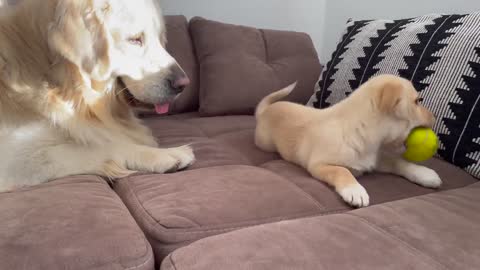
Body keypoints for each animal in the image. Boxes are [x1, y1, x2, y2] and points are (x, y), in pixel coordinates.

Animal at [255, 75, 442, 208]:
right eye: (417, 101)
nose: (435, 115)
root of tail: (266, 109)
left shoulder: (376, 160)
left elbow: (398, 162)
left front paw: (424, 173)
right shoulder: (319, 165)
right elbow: (342, 171)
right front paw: (355, 190)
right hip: (265, 143)